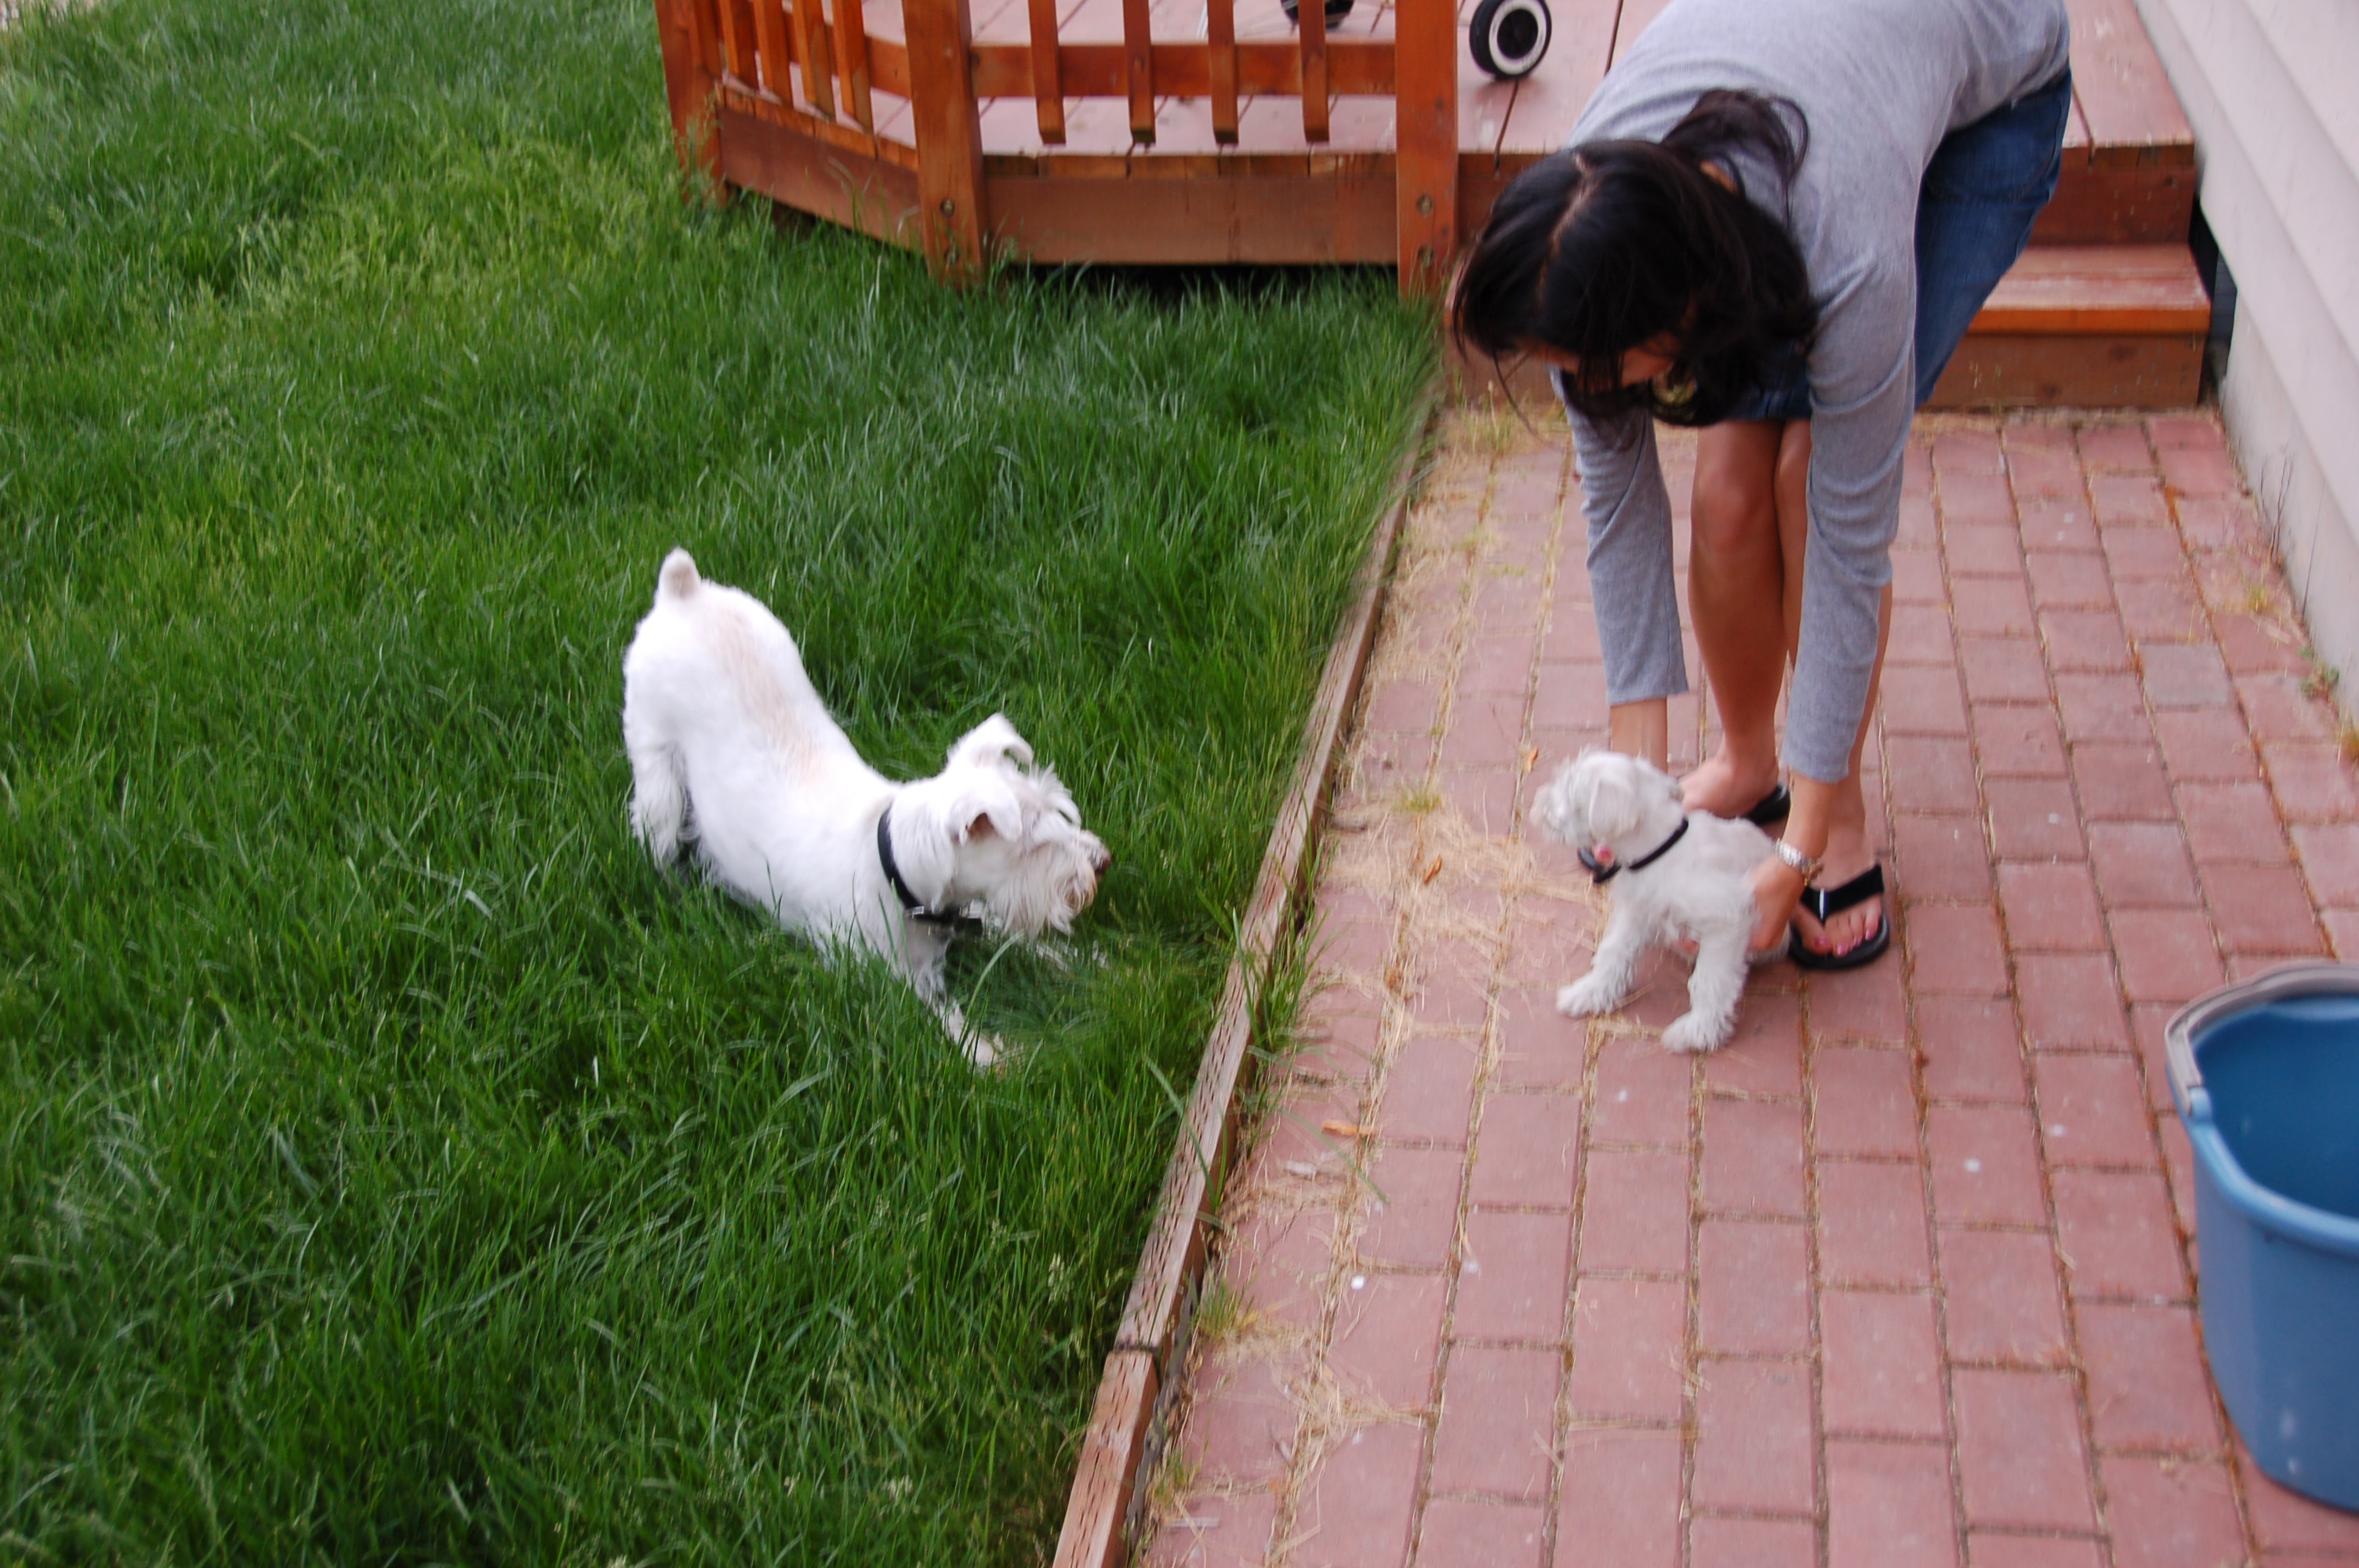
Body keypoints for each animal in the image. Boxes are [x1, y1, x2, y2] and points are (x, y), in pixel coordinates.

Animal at [620, 549, 1111, 1064]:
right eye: (1036, 844)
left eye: (1060, 812)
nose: (1103, 861)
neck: (894, 863)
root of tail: (685, 589)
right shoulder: (889, 983)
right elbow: (950, 1027)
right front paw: (995, 1059)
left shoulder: (973, 916)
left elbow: (1033, 945)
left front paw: (1102, 967)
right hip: (656, 768)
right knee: (657, 830)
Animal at [1529, 748, 1775, 1054]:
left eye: (1572, 793)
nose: (1540, 805)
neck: (1661, 850)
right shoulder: (1637, 911)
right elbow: (1613, 951)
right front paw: (1589, 992)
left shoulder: (1727, 921)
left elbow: (1710, 980)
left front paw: (1697, 1031)